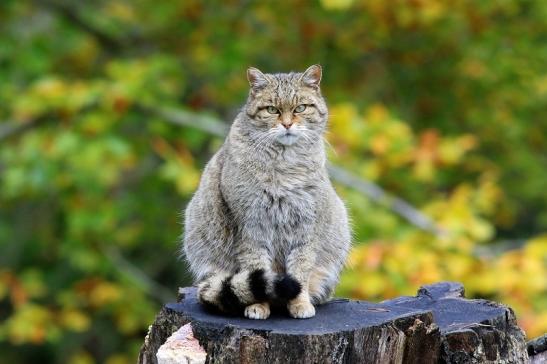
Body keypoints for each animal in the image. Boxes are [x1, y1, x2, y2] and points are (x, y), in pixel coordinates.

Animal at [181, 64, 352, 318]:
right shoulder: (250, 226)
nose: (287, 124)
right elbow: (256, 266)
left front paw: (300, 303)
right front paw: (258, 306)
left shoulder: (306, 225)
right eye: (272, 110)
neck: (284, 165)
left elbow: (300, 269)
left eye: (300, 108)